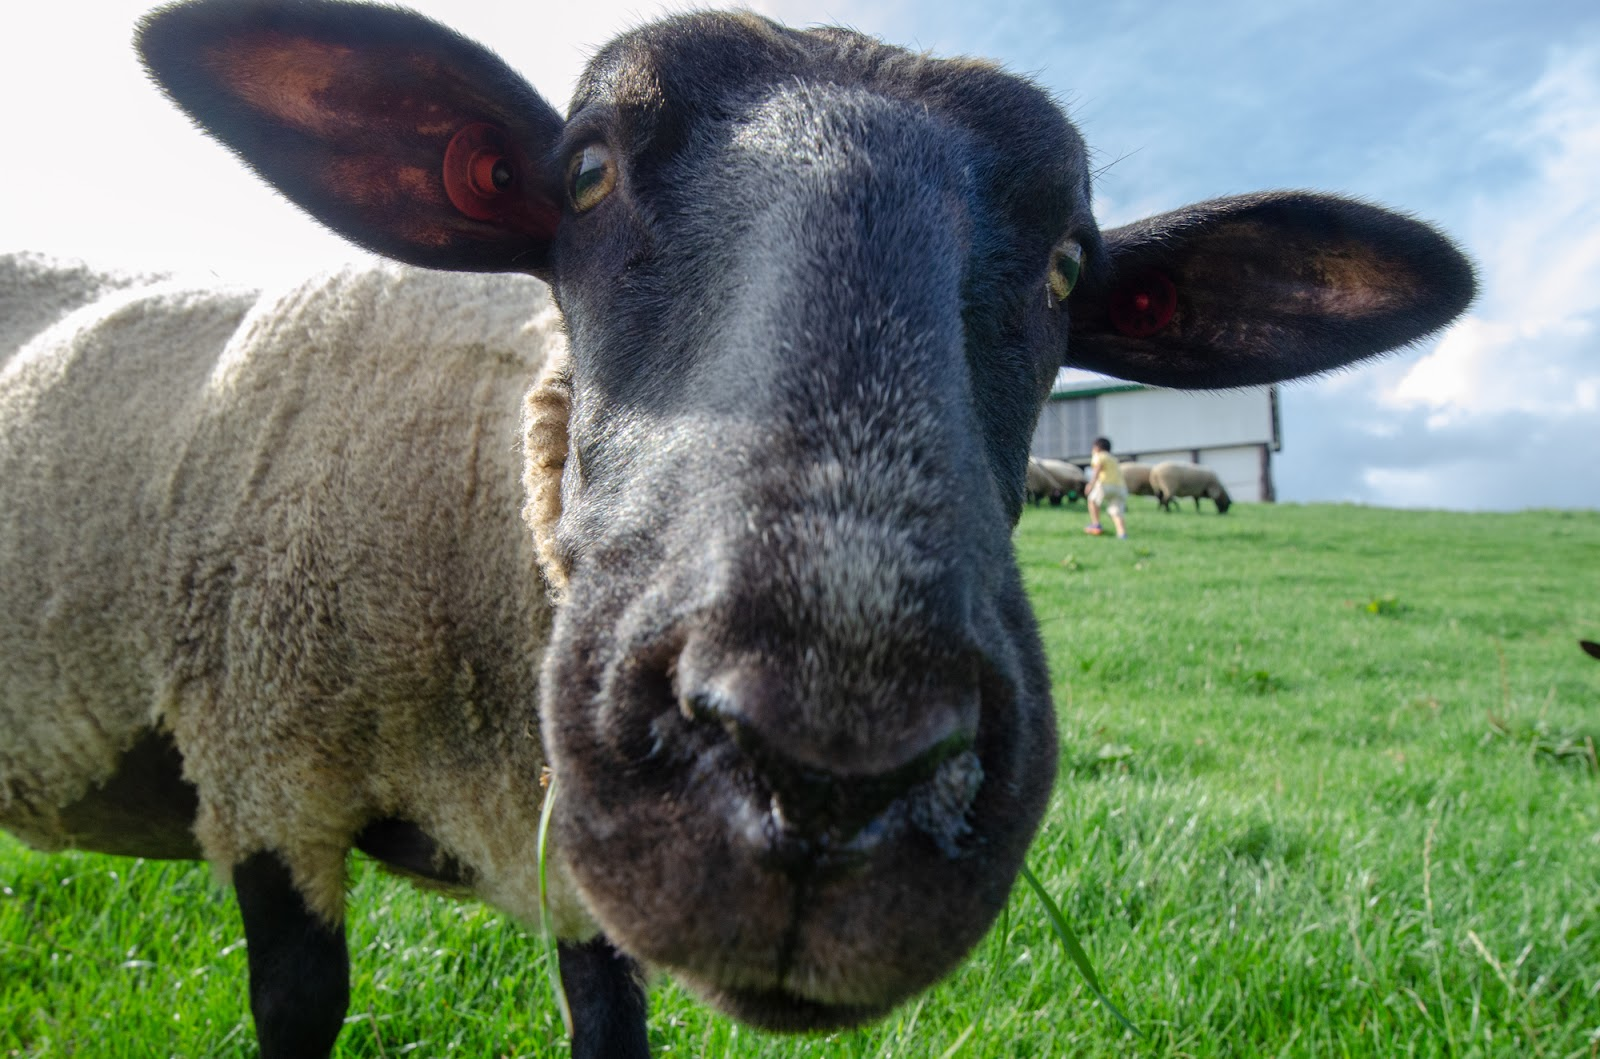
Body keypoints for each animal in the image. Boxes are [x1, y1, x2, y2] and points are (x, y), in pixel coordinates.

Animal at [0, 2, 1472, 1059]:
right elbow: (300, 1007)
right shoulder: (266, 781)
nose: (830, 770)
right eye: (584, 171)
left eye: (1069, 263)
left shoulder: (577, 860)